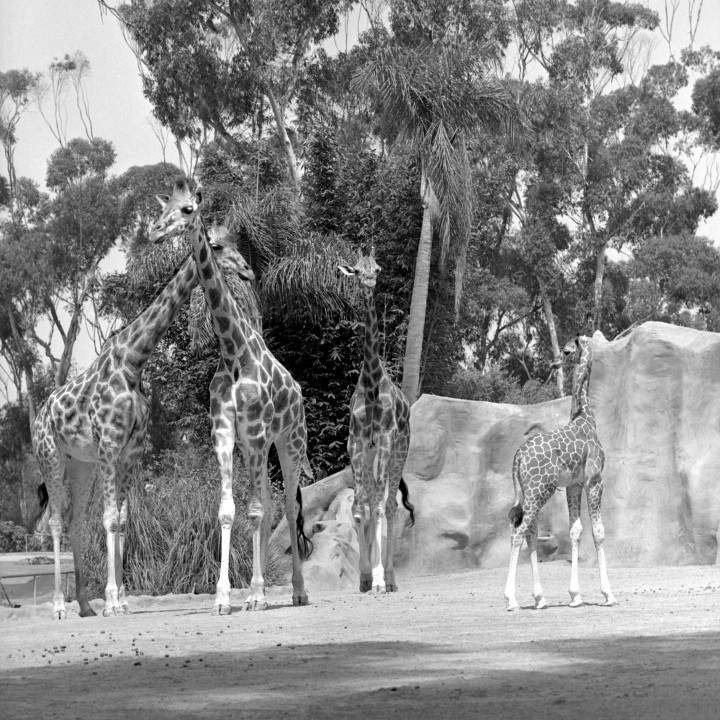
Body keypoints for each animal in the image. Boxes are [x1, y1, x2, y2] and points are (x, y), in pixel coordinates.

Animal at [33, 242, 238, 620]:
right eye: (221, 248)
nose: (248, 272)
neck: (132, 362)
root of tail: (40, 416)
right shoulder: (110, 448)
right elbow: (110, 519)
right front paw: (113, 600)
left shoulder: (130, 452)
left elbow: (123, 520)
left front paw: (122, 600)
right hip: (50, 456)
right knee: (54, 520)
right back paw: (58, 607)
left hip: (80, 464)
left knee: (74, 521)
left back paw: (85, 605)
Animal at [149, 180, 312, 612]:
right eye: (163, 209)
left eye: (188, 210)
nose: (155, 233)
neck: (234, 351)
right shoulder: (224, 433)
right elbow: (228, 511)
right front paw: (224, 597)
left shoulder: (254, 431)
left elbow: (254, 512)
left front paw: (254, 594)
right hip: (263, 446)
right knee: (271, 506)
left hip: (290, 443)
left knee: (290, 507)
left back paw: (297, 591)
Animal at [504, 334, 616, 612]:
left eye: (566, 351)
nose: (553, 363)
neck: (586, 416)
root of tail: (517, 457)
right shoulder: (595, 479)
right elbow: (598, 531)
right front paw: (608, 594)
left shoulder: (574, 484)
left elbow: (575, 531)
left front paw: (575, 596)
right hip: (538, 491)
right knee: (520, 532)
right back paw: (512, 600)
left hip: (528, 493)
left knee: (525, 529)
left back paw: (540, 598)